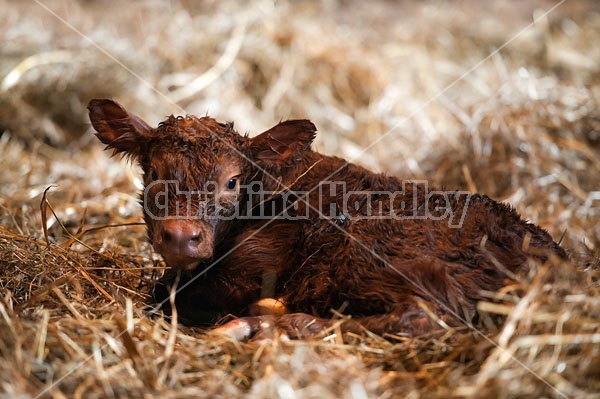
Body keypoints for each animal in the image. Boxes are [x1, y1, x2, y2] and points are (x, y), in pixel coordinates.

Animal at [89, 98, 568, 340]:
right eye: (154, 172)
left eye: (231, 181)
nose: (180, 236)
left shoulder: (255, 266)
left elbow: (164, 295)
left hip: (373, 256)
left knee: (422, 318)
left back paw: (274, 322)